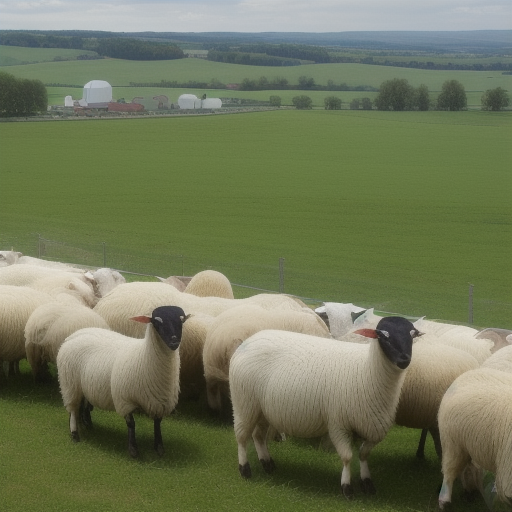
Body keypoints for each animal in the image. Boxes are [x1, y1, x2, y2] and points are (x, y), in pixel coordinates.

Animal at [56, 306, 191, 458]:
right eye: (157, 321)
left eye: (182, 320)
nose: (174, 342)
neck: (143, 354)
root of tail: (74, 335)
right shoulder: (124, 399)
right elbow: (131, 423)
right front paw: (133, 450)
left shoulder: (159, 401)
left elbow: (157, 423)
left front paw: (159, 448)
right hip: (69, 384)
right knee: (73, 409)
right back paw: (75, 433)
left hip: (84, 385)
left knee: (83, 405)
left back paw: (87, 425)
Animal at [230, 314, 422, 498]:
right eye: (383, 335)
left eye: (412, 335)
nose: (404, 360)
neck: (368, 368)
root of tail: (250, 339)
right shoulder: (338, 423)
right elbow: (347, 457)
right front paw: (347, 488)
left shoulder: (374, 427)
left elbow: (363, 454)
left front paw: (367, 483)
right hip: (243, 402)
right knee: (242, 437)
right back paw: (245, 469)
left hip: (261, 408)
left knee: (258, 435)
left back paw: (267, 464)